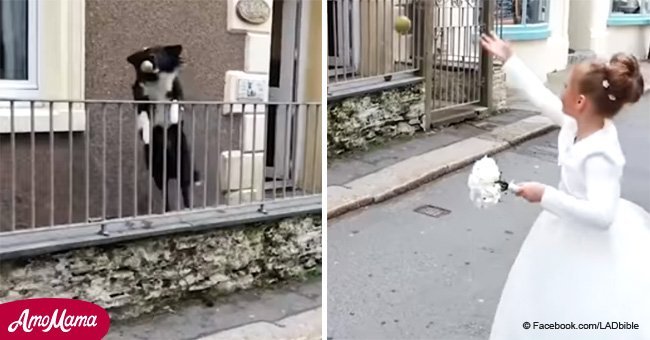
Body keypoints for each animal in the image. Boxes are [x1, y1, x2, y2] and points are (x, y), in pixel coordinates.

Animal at [125, 44, 199, 210]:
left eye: (159, 52)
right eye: (145, 54)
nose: (151, 58)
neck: (155, 79)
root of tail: (170, 172)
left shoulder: (177, 91)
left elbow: (175, 103)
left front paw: (174, 117)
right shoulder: (141, 100)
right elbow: (144, 118)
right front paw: (146, 135)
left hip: (183, 168)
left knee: (185, 190)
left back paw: (187, 207)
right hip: (158, 174)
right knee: (165, 195)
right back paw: (167, 210)